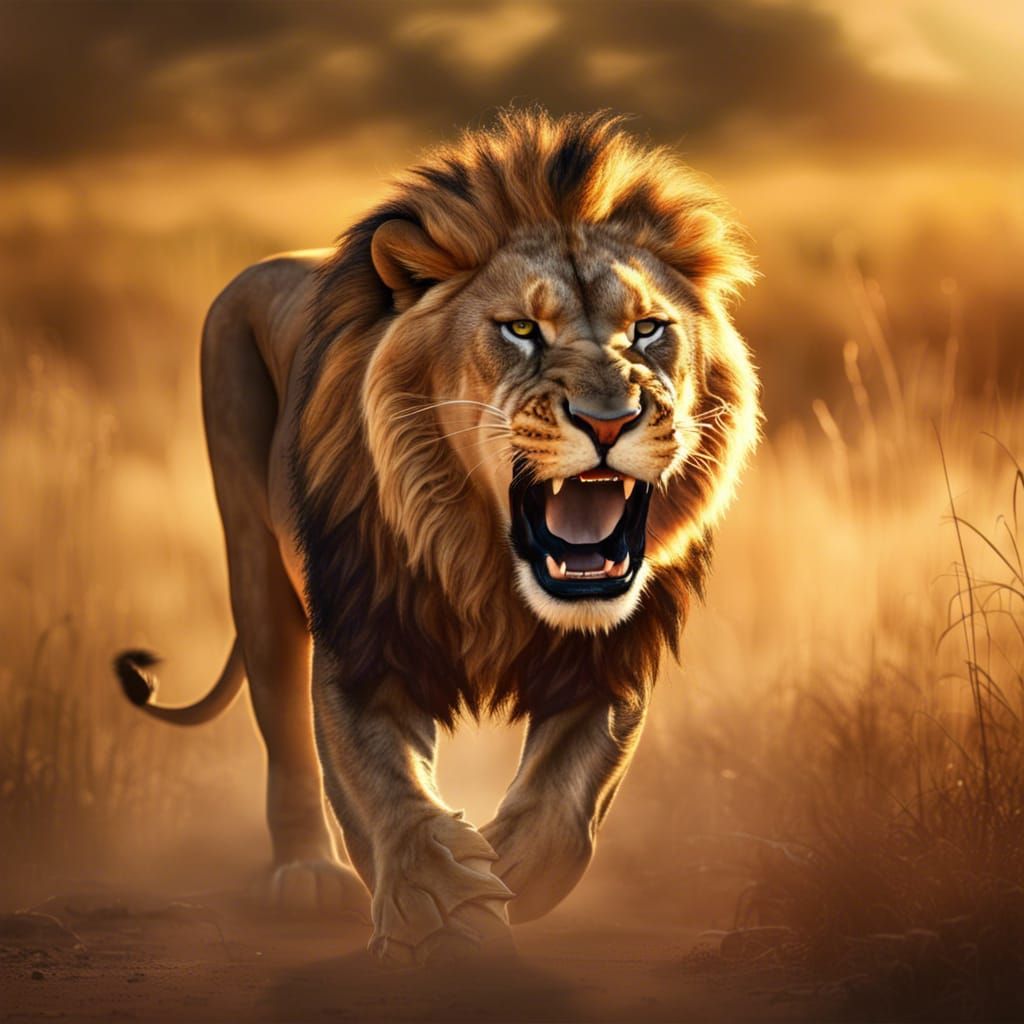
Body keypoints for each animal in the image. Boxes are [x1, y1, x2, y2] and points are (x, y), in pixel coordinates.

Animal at [114, 109, 759, 966]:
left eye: (649, 330)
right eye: (520, 329)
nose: (609, 420)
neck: (488, 566)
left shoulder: (612, 657)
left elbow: (568, 803)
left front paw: (507, 870)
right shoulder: (359, 641)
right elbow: (380, 789)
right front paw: (444, 910)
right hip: (253, 559)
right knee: (282, 726)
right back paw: (306, 876)